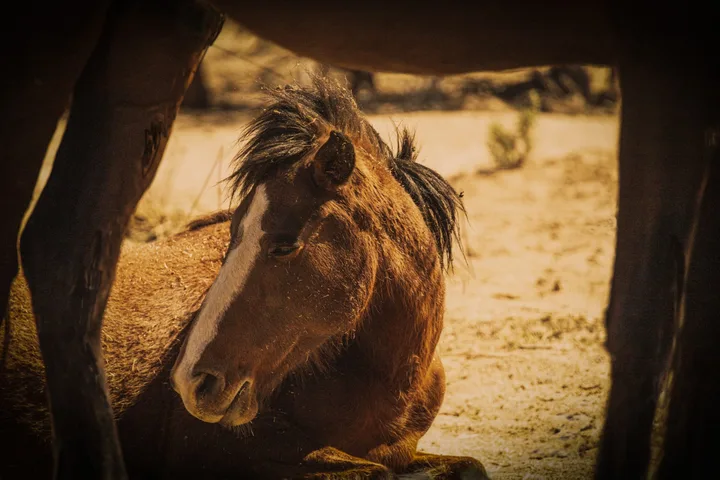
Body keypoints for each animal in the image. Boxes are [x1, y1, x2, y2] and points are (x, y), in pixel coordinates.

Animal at [0, 75, 488, 480]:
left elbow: (469, 467)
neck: (385, 385)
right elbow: (374, 472)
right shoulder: (221, 452)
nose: (190, 383)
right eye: (231, 232)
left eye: (285, 245)